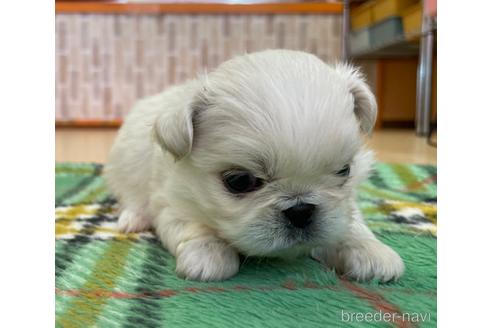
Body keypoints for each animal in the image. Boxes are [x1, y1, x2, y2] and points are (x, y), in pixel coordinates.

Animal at [104, 48, 404, 282]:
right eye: (240, 181)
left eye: (344, 171)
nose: (301, 210)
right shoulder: (171, 202)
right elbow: (193, 227)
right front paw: (208, 255)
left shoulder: (344, 206)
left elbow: (351, 223)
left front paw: (371, 251)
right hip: (125, 168)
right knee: (130, 196)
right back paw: (133, 219)